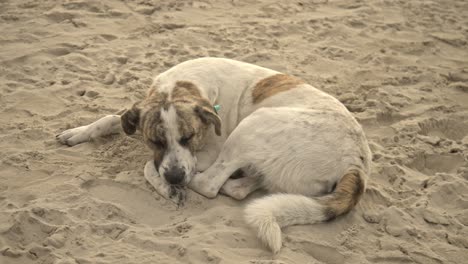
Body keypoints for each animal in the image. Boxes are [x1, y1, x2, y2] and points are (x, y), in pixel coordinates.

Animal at [56, 57, 372, 252]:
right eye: (155, 140)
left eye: (189, 137)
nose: (175, 178)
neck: (186, 84)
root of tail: (356, 164)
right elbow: (113, 118)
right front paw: (78, 132)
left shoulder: (206, 153)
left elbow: (148, 166)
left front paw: (169, 188)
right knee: (242, 188)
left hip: (252, 125)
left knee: (209, 185)